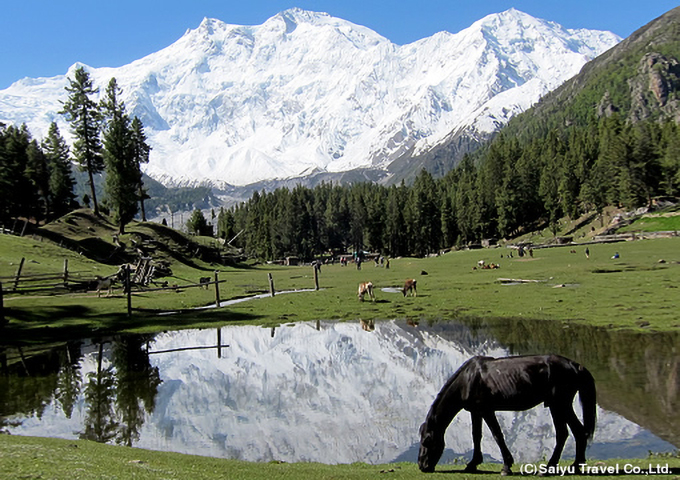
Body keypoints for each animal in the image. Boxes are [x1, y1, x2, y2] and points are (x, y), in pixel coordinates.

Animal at [418, 354, 596, 474]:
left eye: (427, 441)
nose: (422, 466)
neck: (467, 380)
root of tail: (574, 365)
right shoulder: (476, 411)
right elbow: (476, 436)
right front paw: (473, 464)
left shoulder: (486, 410)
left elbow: (497, 435)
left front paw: (506, 466)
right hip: (559, 405)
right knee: (574, 432)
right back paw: (573, 466)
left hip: (559, 404)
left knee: (567, 433)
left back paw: (551, 468)